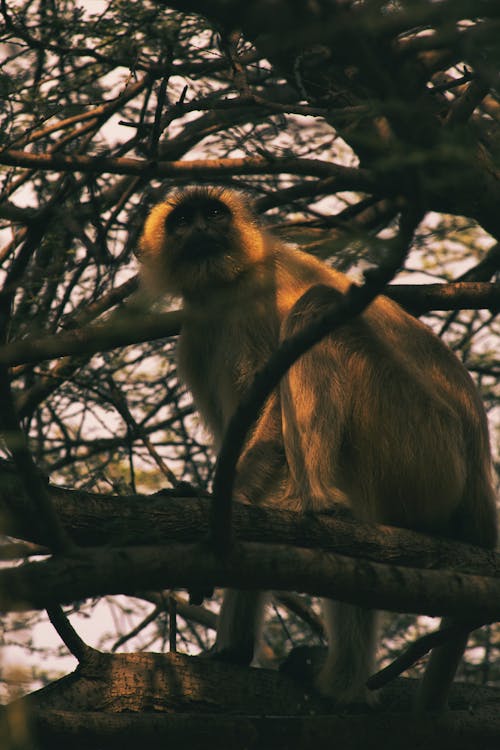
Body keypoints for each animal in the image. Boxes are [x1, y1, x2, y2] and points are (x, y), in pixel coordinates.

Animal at [139, 187, 498, 712]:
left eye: (214, 214)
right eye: (183, 221)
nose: (202, 229)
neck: (225, 286)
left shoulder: (255, 297)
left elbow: (269, 422)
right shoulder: (199, 333)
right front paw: (233, 648)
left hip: (426, 446)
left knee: (316, 306)